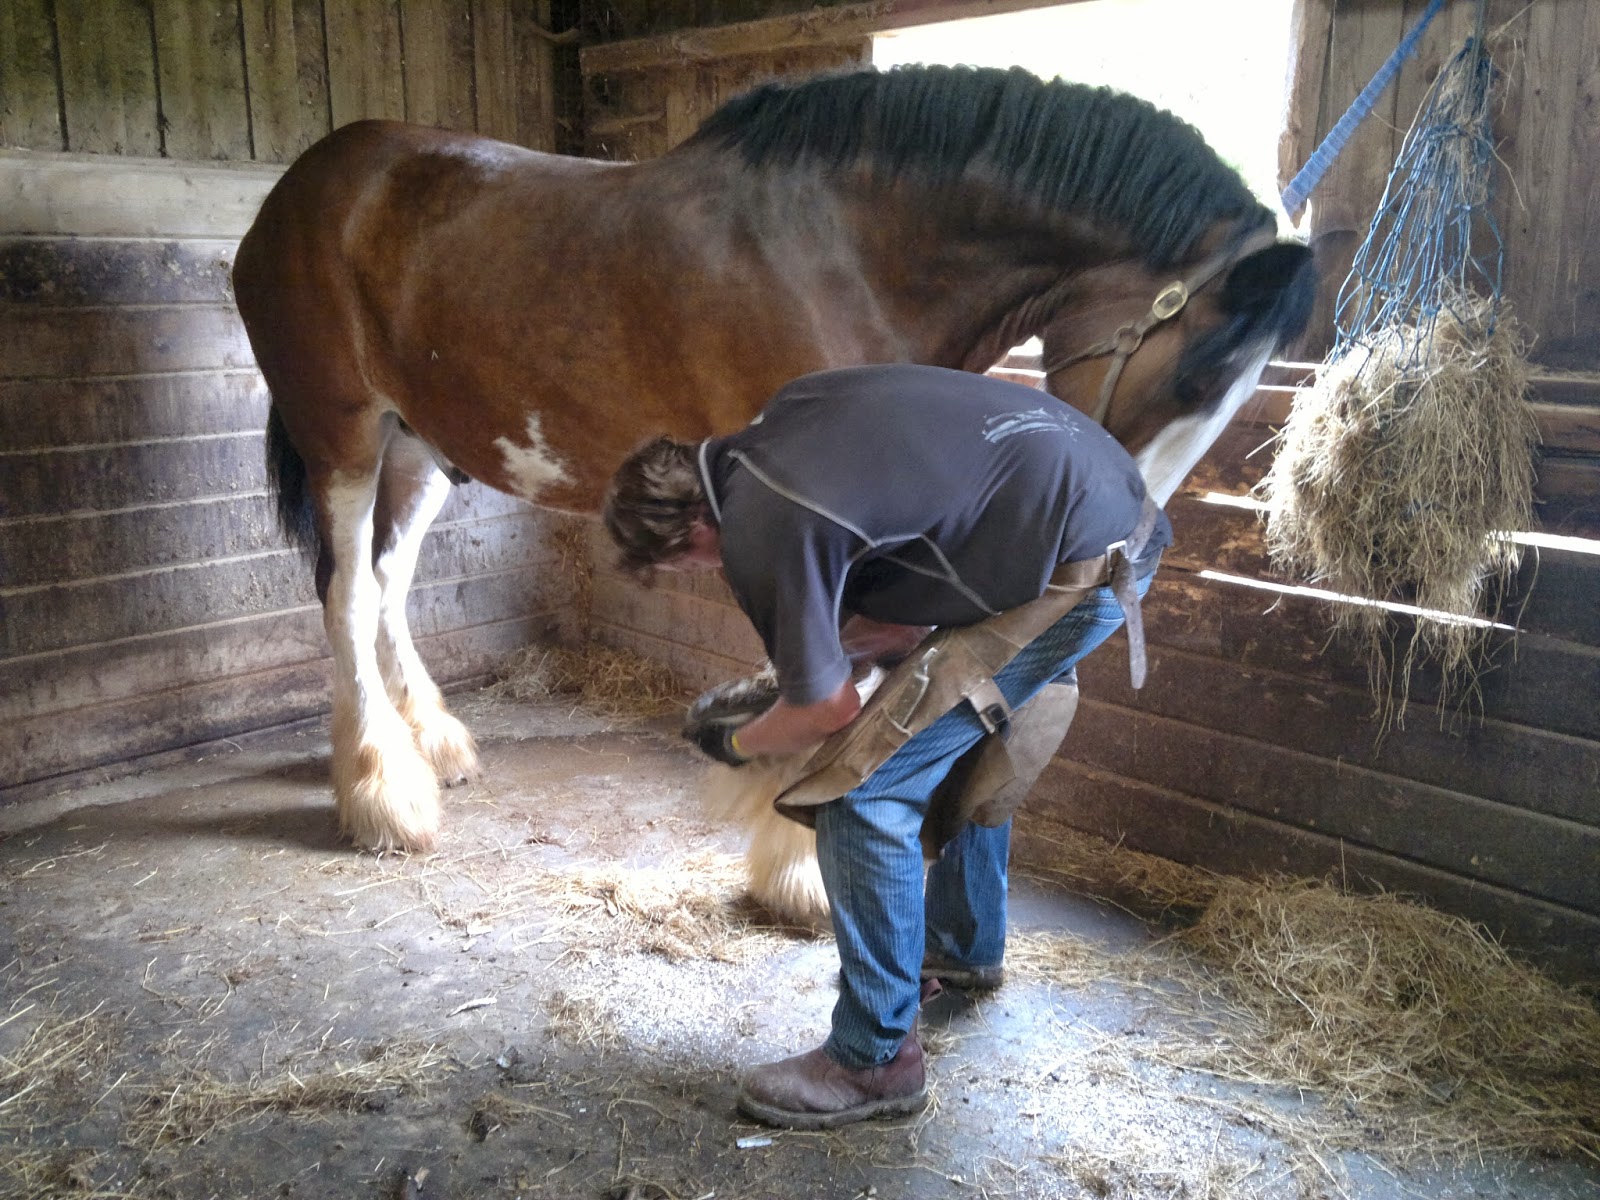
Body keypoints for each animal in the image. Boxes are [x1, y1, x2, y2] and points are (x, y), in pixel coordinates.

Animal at [232, 63, 1316, 863]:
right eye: (1195, 377)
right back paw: (381, 793)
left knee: (384, 583)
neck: (845, 253)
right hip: (344, 435)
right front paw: (797, 867)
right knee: (344, 593)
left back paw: (432, 745)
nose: (1122, 558)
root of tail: (306, 183)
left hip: (420, 446)